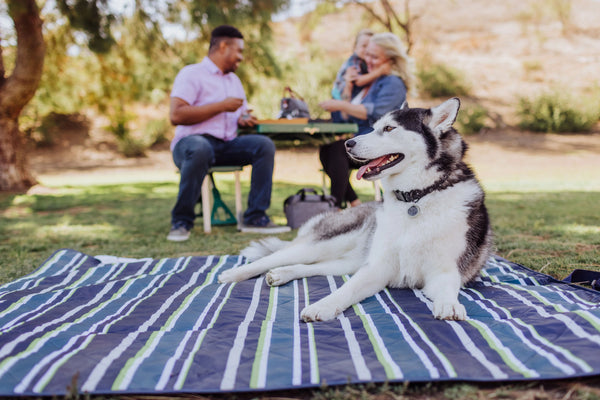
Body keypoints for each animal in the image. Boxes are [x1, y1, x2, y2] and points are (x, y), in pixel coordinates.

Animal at [219, 99, 492, 322]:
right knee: (275, 257)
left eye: (389, 128)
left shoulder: (444, 270)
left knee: (312, 266)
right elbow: (346, 290)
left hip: (348, 261)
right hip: (327, 243)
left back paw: (283, 274)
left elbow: (448, 288)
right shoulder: (377, 268)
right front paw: (322, 306)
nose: (347, 143)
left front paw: (449, 305)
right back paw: (233, 274)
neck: (416, 198)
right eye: (374, 126)